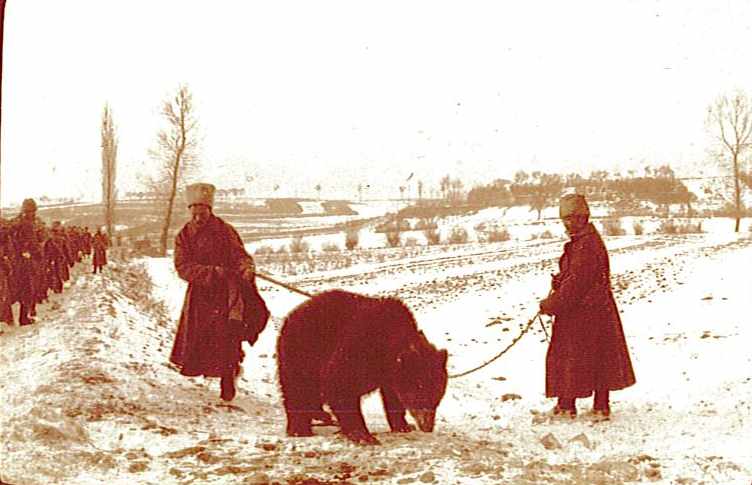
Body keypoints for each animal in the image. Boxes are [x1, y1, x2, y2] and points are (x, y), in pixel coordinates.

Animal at [280, 290, 450, 444]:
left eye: (437, 396)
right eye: (420, 395)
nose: (427, 426)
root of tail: (292, 314)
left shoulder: (390, 375)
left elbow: (392, 397)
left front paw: (403, 426)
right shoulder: (358, 346)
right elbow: (339, 384)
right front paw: (363, 435)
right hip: (302, 353)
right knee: (297, 390)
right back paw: (300, 429)